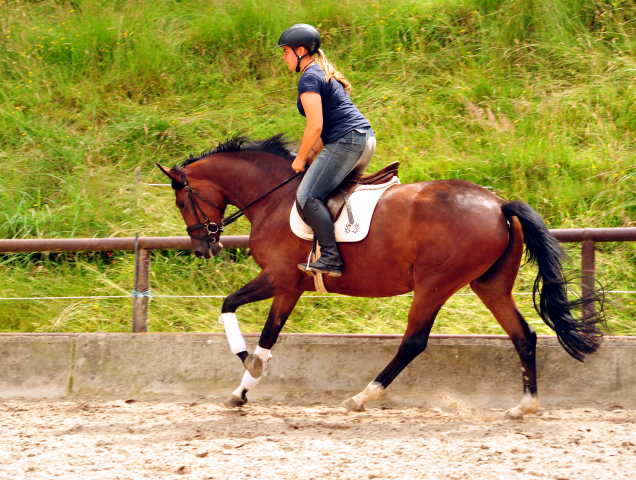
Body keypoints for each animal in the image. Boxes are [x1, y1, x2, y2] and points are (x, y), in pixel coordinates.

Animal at [157, 133, 604, 418]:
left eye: (181, 201)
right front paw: (242, 390)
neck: (274, 197)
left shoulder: (278, 277)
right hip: (490, 285)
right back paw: (524, 406)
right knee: (523, 336)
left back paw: (361, 397)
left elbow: (229, 305)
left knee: (413, 343)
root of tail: (497, 204)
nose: (204, 247)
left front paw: (244, 363)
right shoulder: (290, 286)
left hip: (434, 284)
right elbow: (268, 337)